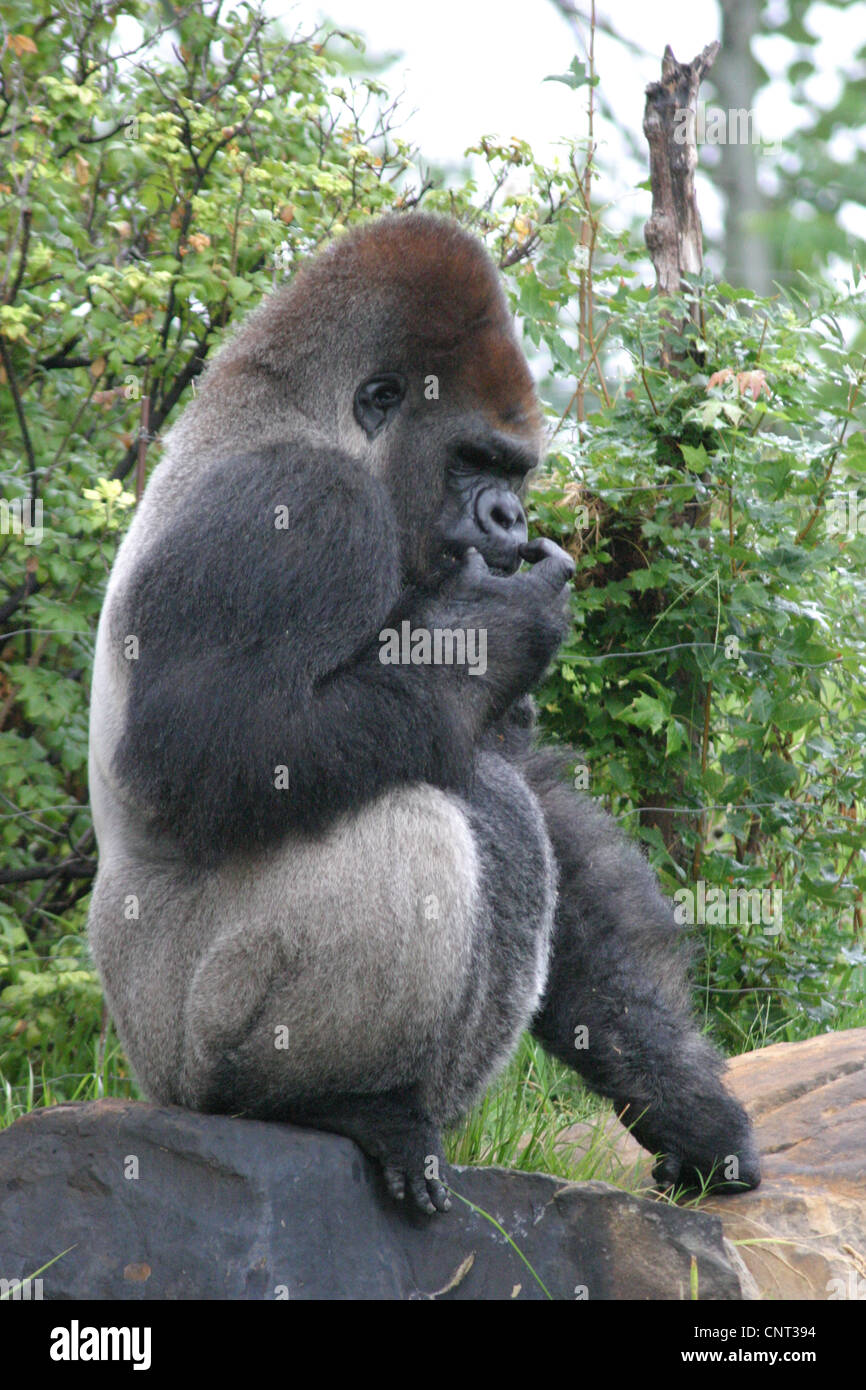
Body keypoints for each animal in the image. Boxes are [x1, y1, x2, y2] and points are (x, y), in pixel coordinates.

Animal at [87, 212, 760, 1215]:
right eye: (474, 461)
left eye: (514, 469)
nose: (511, 518)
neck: (299, 414)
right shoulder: (297, 506)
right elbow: (205, 750)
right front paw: (490, 625)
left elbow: (541, 802)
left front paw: (682, 1099)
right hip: (170, 1049)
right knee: (412, 822)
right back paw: (331, 1104)